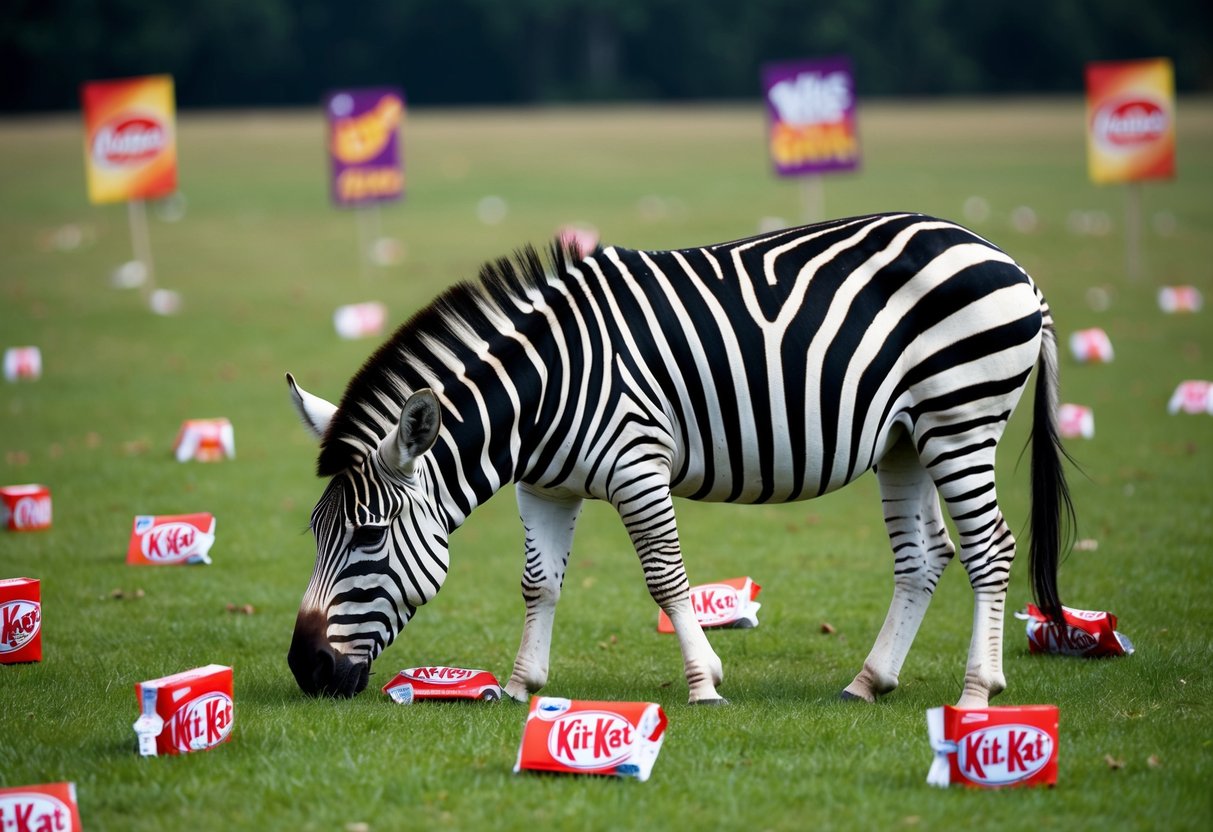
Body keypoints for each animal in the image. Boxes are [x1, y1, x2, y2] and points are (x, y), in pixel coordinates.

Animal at [285, 212, 1073, 708]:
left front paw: (703, 682)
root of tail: (1010, 263)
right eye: (316, 535)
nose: (304, 667)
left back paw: (978, 690)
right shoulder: (544, 488)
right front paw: (517, 686)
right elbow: (538, 584)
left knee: (990, 548)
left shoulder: (637, 465)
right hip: (906, 438)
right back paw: (868, 681)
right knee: (925, 555)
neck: (543, 391)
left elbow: (667, 579)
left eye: (368, 537)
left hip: (960, 416)